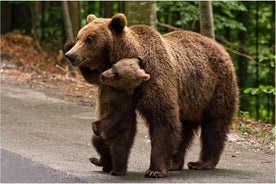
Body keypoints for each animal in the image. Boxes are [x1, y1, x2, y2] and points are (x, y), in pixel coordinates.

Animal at [64, 13, 239, 178]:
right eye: (79, 36)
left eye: (89, 39)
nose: (70, 55)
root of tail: (223, 49)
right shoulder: (122, 90)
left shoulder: (156, 80)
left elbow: (162, 121)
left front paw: (155, 170)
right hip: (189, 100)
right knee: (184, 128)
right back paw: (174, 163)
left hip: (215, 91)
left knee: (214, 126)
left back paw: (201, 162)